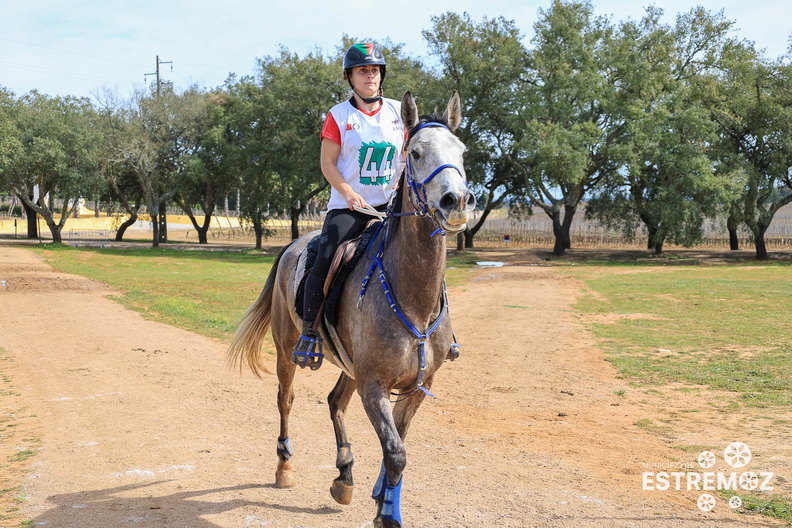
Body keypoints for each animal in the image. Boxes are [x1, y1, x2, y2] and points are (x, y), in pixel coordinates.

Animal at [227, 92, 476, 528]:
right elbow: (396, 452)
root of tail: (295, 245)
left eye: (461, 151)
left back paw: (344, 473)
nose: (457, 201)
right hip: (287, 351)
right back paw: (284, 466)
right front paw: (387, 514)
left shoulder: (417, 386)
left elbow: (396, 445)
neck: (415, 299)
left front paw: (381, 498)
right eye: (415, 152)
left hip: (349, 366)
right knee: (285, 400)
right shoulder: (374, 385)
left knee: (334, 402)